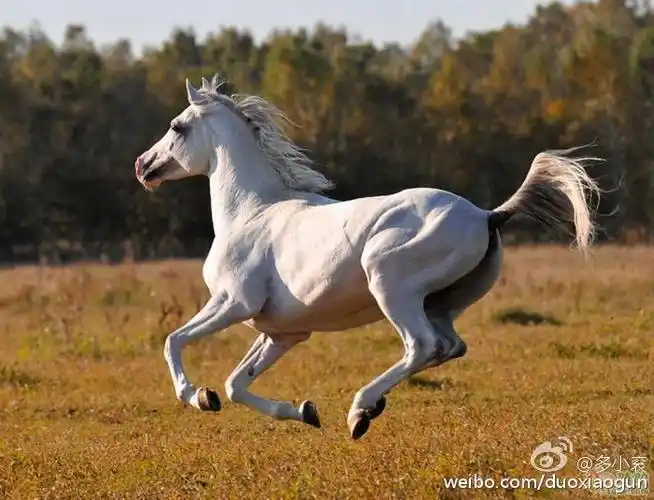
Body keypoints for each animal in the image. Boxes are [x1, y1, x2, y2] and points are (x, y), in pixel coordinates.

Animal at [134, 74, 601, 440]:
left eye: (177, 127)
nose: (143, 165)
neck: (251, 211)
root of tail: (488, 215)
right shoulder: (282, 333)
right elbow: (235, 384)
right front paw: (303, 411)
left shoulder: (233, 303)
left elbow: (173, 340)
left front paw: (197, 396)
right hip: (441, 303)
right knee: (449, 346)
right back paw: (369, 407)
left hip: (390, 285)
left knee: (422, 345)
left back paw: (359, 411)